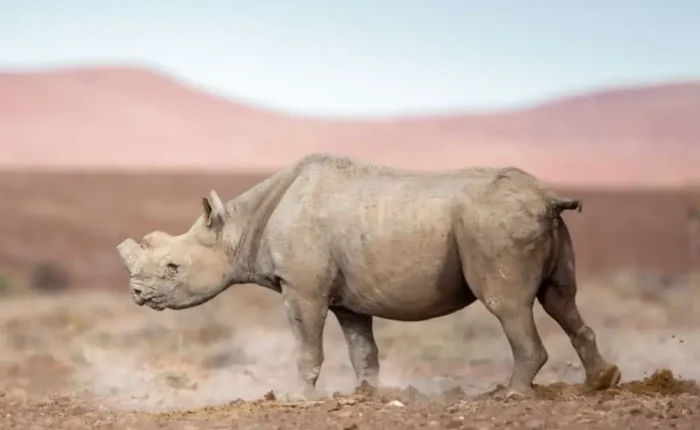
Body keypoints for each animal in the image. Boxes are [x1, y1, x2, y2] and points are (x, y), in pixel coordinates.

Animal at [116, 153, 621, 400]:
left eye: (173, 267)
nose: (137, 293)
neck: (238, 227)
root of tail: (548, 198)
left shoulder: (302, 288)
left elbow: (307, 345)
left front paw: (299, 399)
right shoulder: (347, 298)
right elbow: (363, 348)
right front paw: (367, 394)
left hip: (492, 224)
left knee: (507, 304)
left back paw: (512, 396)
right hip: (539, 225)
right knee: (561, 299)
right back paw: (601, 382)